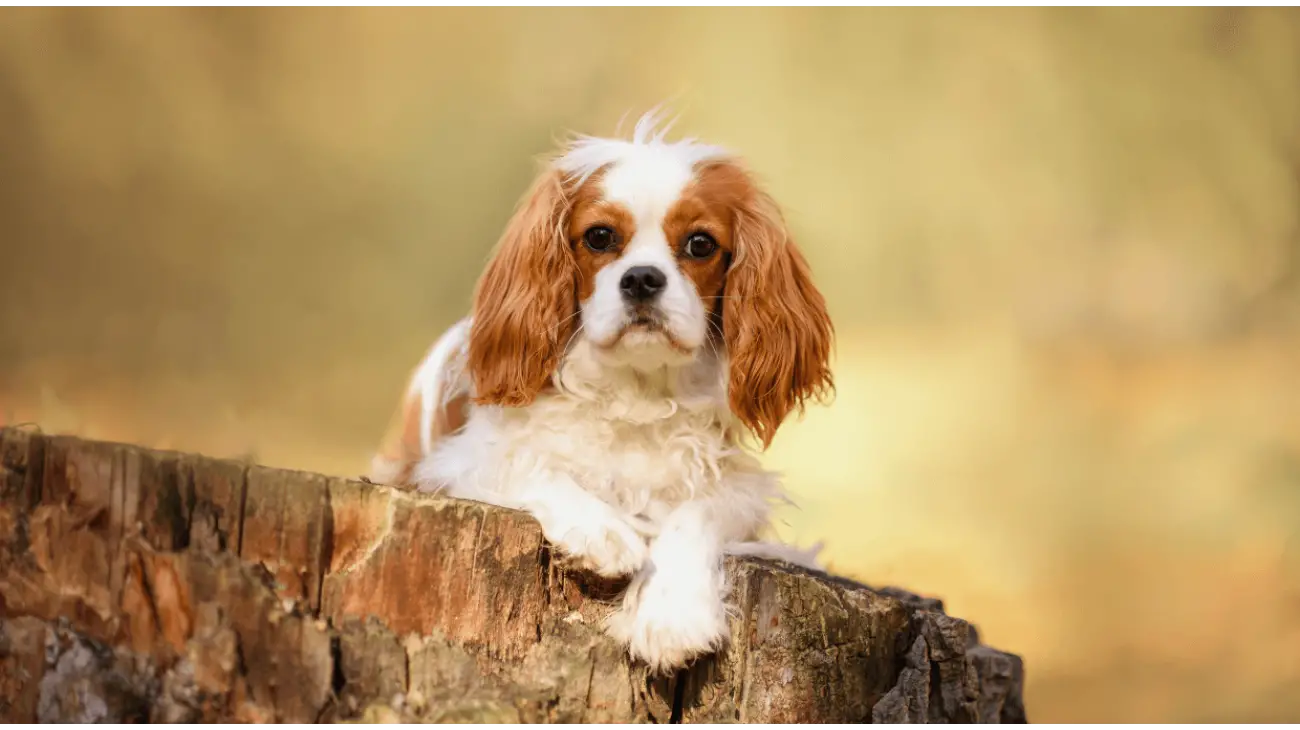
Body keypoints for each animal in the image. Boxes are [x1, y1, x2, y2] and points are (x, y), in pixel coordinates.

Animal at [369, 111, 832, 675]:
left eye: (701, 244)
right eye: (599, 237)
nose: (642, 278)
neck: (637, 388)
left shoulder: (738, 489)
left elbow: (696, 512)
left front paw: (670, 614)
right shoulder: (452, 462)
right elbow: (527, 462)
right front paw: (601, 530)